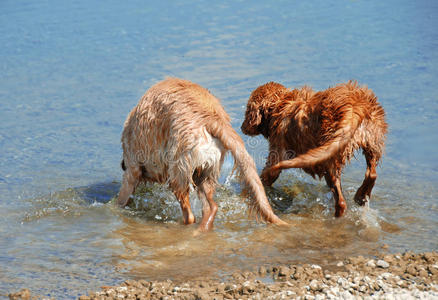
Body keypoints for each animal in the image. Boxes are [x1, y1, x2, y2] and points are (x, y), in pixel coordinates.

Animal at [118, 78, 288, 231]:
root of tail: (211, 118)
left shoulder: (132, 170)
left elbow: (122, 197)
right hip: (206, 171)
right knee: (211, 207)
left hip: (180, 169)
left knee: (189, 214)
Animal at [241, 81, 388, 217]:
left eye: (247, 110)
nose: (242, 127)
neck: (279, 105)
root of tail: (354, 106)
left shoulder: (277, 149)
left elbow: (267, 175)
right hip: (372, 139)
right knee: (371, 174)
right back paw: (361, 197)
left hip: (330, 156)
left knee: (341, 201)